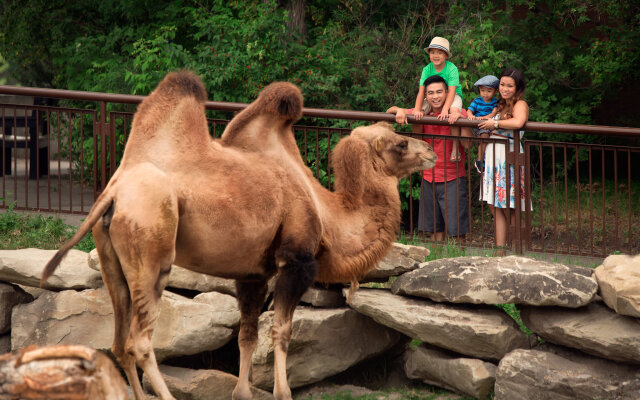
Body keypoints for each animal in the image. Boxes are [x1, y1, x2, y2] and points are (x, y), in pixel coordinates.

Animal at [40, 70, 436, 398]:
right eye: (400, 144)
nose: (431, 151)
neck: (327, 212)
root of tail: (114, 192)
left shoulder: (252, 273)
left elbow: (247, 336)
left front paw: (243, 392)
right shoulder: (297, 261)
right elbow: (281, 332)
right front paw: (282, 392)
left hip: (112, 258)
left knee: (119, 343)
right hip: (152, 244)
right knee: (140, 341)